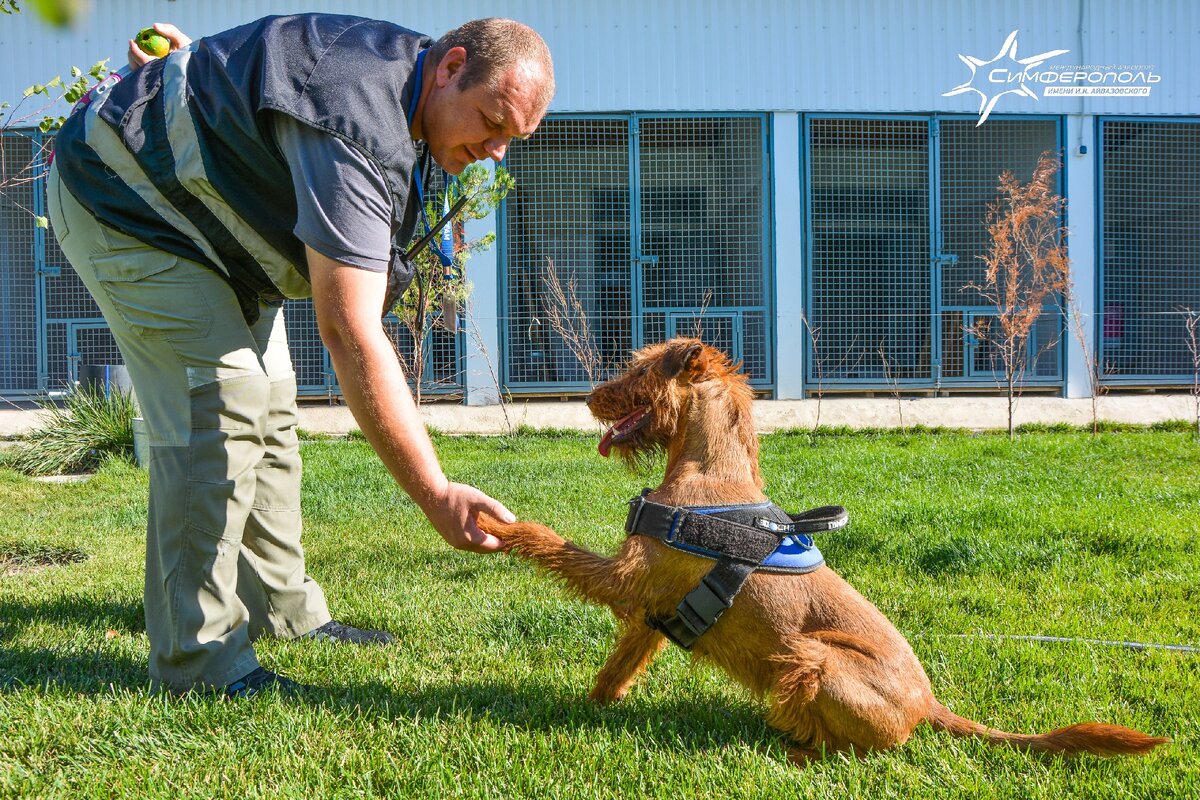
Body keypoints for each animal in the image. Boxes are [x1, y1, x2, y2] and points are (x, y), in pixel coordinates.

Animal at [477, 338, 1161, 762]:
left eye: (641, 370)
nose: (590, 397)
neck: (709, 473)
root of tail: (929, 706)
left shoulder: (626, 578)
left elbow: (551, 542)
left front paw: (497, 525)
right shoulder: (652, 608)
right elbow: (620, 665)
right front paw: (590, 706)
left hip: (811, 658)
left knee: (849, 748)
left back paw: (793, 749)